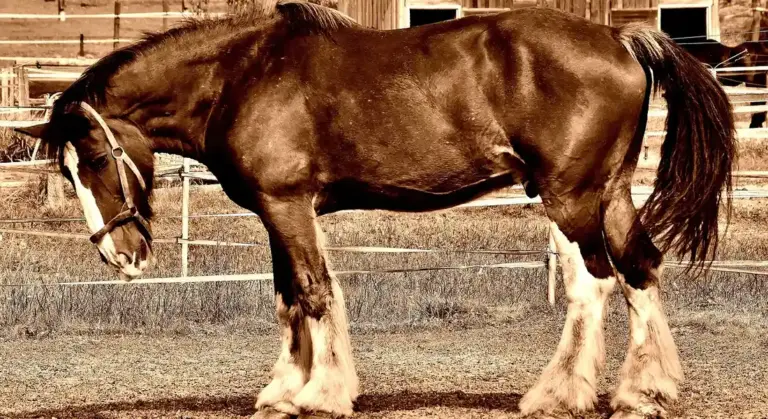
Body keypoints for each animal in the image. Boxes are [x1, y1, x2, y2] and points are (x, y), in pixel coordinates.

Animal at [17, 2, 735, 418]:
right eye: (66, 171)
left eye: (98, 159)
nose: (120, 254)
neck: (240, 76)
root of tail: (621, 36)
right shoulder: (277, 212)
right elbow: (288, 297)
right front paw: (284, 392)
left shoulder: (288, 206)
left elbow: (312, 292)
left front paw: (319, 395)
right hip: (609, 191)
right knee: (640, 268)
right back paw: (643, 392)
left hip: (572, 196)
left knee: (594, 282)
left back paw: (559, 394)